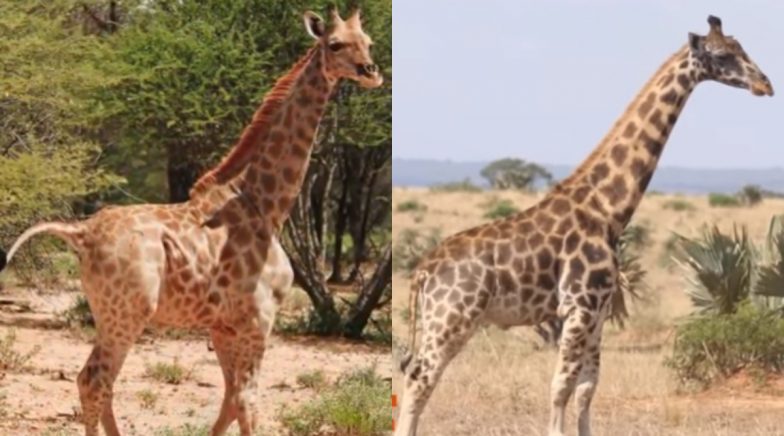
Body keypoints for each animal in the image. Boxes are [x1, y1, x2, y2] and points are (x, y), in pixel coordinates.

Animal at [0, 9, 382, 436]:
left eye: (368, 42)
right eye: (335, 44)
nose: (371, 71)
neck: (266, 204)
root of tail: (79, 232)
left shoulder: (223, 325)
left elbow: (229, 402)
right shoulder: (259, 320)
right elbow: (248, 403)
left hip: (109, 313)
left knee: (103, 383)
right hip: (128, 313)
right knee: (93, 379)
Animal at [395, 15, 772, 436]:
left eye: (742, 47)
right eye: (722, 54)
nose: (765, 84)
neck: (607, 210)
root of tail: (422, 271)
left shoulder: (600, 309)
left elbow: (587, 388)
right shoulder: (578, 306)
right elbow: (561, 386)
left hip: (440, 320)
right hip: (452, 318)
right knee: (420, 378)